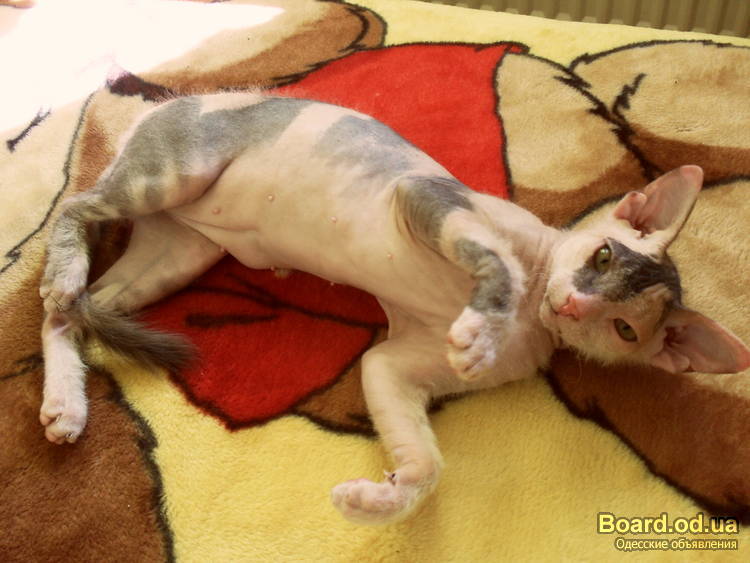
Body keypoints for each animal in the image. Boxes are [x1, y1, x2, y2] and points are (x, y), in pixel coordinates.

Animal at [39, 92, 750, 525]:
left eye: (625, 328)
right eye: (602, 257)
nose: (574, 306)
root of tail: (168, 100)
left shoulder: (391, 361)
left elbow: (428, 463)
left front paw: (376, 501)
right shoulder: (423, 193)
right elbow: (500, 266)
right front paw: (484, 327)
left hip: (178, 253)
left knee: (73, 311)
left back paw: (66, 402)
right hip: (173, 174)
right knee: (73, 212)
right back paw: (63, 274)